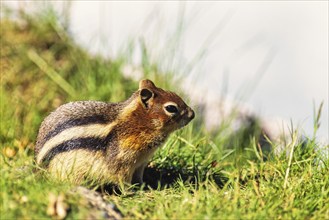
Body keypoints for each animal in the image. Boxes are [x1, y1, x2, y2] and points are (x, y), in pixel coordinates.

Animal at [34, 79, 193, 186]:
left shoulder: (141, 163)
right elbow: (121, 178)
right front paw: (130, 191)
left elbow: (139, 176)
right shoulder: (122, 160)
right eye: (171, 108)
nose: (193, 114)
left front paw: (144, 186)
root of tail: (37, 167)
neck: (138, 123)